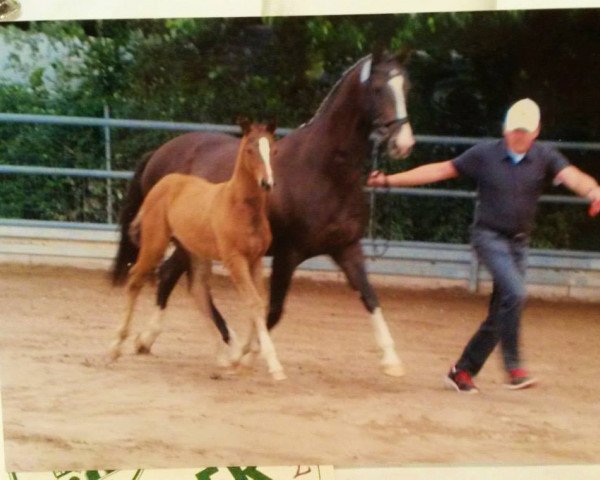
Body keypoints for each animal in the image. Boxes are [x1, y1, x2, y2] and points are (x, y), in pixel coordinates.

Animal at [112, 51, 414, 376]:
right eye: (378, 89)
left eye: (406, 87)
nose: (404, 143)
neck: (322, 169)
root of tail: (158, 154)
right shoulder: (288, 253)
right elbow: (273, 310)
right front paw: (246, 355)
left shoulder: (347, 248)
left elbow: (370, 297)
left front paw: (391, 360)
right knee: (171, 277)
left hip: (191, 244)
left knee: (172, 277)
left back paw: (151, 340)